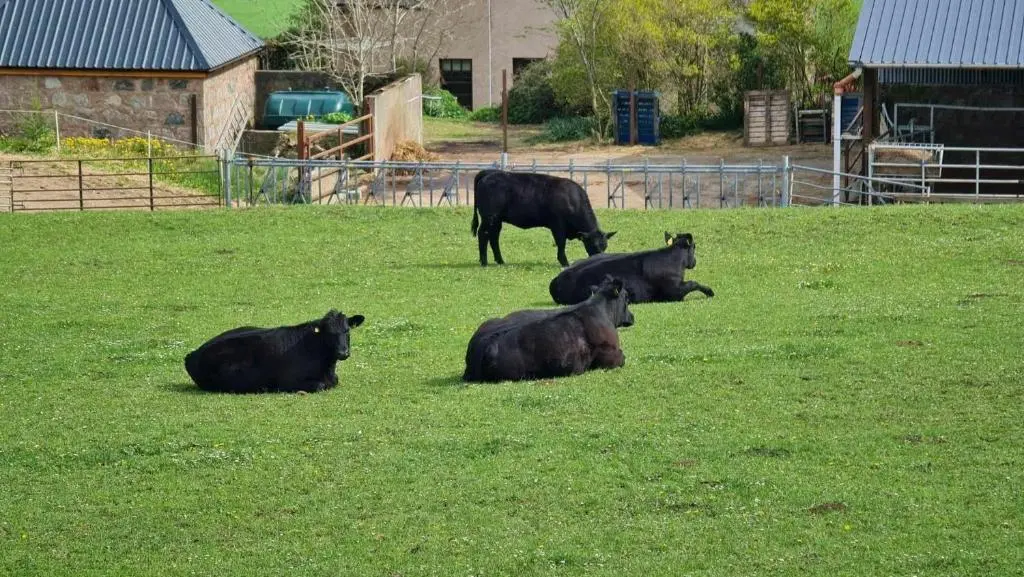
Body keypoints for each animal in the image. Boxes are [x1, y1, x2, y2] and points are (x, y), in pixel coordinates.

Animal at [184, 309, 365, 394]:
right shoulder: (289, 381)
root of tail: (192, 354)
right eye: (328, 333)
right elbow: (320, 385)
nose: (343, 353)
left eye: (347, 331)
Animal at [471, 169, 616, 267]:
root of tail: (489, 173)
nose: (600, 260)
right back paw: (484, 262)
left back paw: (500, 261)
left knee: (494, 237)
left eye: (605, 246)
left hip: (497, 220)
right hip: (489, 218)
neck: (572, 200)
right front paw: (564, 262)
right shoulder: (558, 225)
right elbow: (561, 243)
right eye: (593, 245)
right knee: (483, 234)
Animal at [548, 232, 714, 305]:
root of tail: (556, 281)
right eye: (694, 246)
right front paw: (710, 291)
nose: (695, 261)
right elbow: (694, 283)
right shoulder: (674, 292)